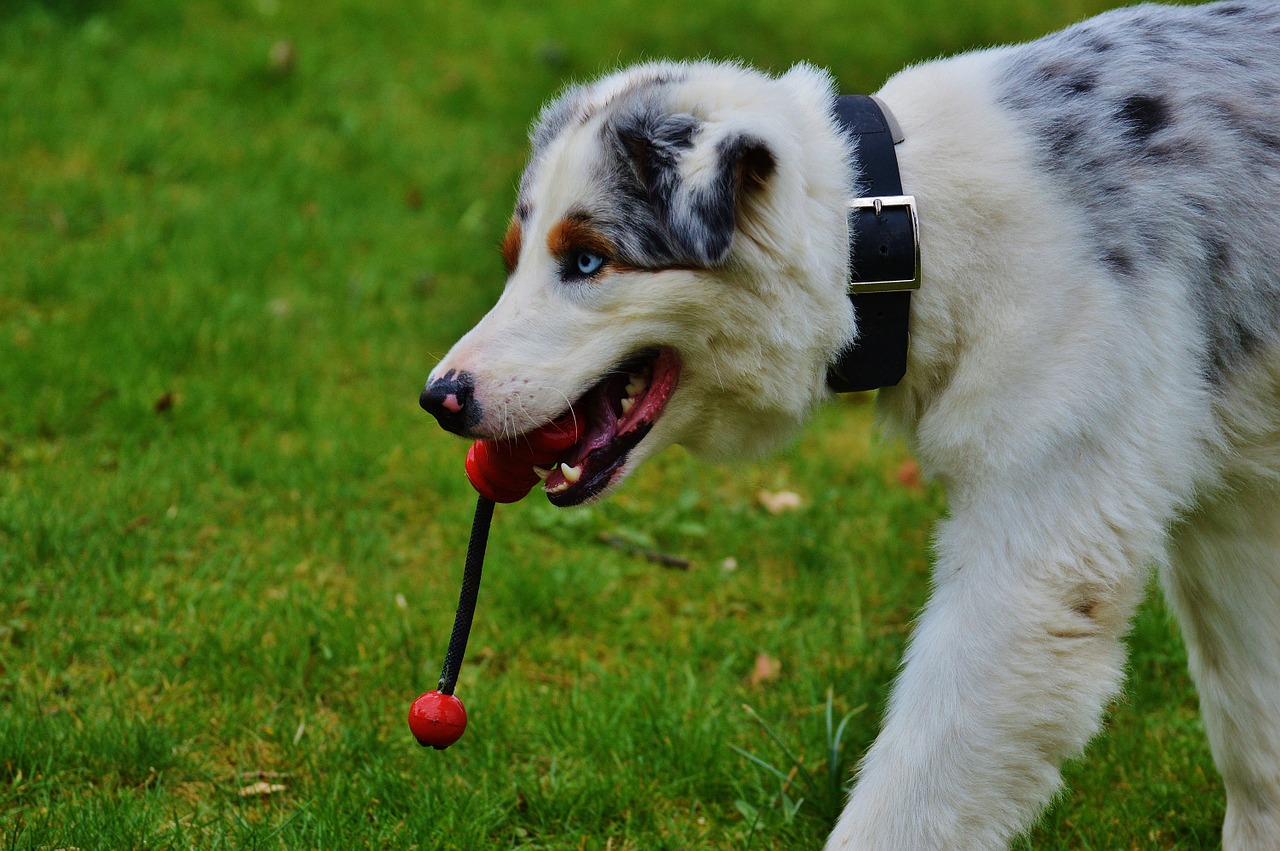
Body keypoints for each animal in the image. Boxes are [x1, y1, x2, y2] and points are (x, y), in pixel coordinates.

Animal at [419, 3, 1280, 844]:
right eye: (513, 258)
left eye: (589, 260)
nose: (440, 398)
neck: (907, 226)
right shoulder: (1231, 521)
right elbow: (1253, 728)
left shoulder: (1035, 573)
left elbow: (903, 804)